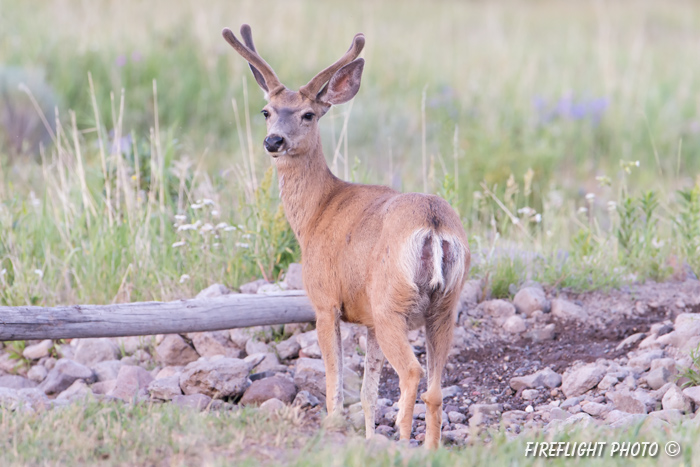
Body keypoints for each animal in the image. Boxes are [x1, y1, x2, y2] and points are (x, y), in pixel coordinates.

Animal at [221, 25, 468, 450]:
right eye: (267, 111)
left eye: (308, 114)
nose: (274, 142)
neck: (316, 214)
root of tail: (434, 223)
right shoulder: (366, 318)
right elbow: (368, 392)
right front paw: (368, 437)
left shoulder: (324, 301)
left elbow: (334, 382)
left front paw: (334, 427)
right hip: (444, 307)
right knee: (435, 388)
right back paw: (429, 448)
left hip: (391, 303)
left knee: (412, 372)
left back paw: (403, 439)